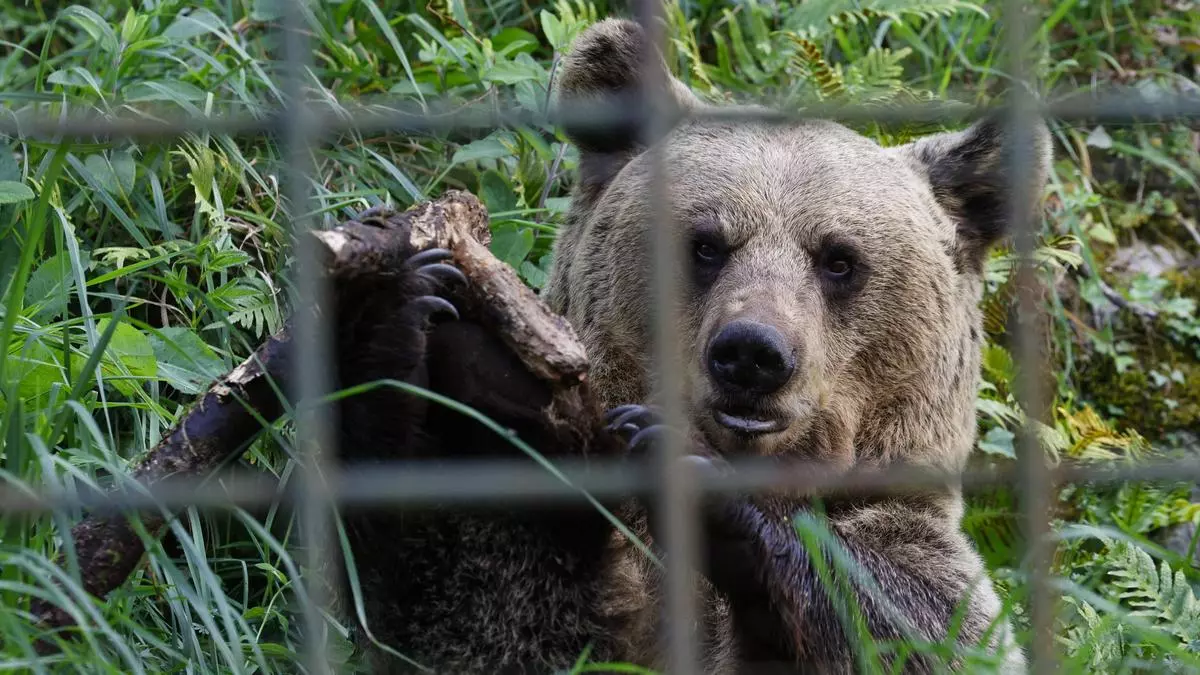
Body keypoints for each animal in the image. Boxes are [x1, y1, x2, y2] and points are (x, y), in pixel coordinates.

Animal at [327, 16, 1052, 675]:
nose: (752, 355)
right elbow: (475, 602)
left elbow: (912, 619)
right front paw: (414, 322)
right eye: (706, 244)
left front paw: (702, 483)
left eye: (840, 259)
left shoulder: (908, 544)